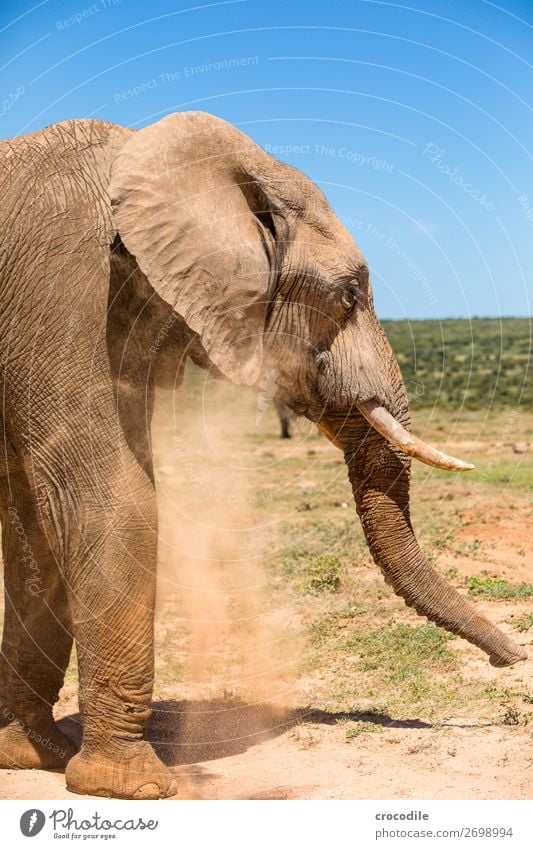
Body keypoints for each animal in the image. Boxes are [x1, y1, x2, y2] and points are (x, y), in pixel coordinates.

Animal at [0, 111, 524, 796]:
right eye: (349, 295)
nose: (513, 659)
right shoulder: (66, 289)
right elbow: (105, 493)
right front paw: (134, 786)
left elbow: (31, 526)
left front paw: (33, 755)